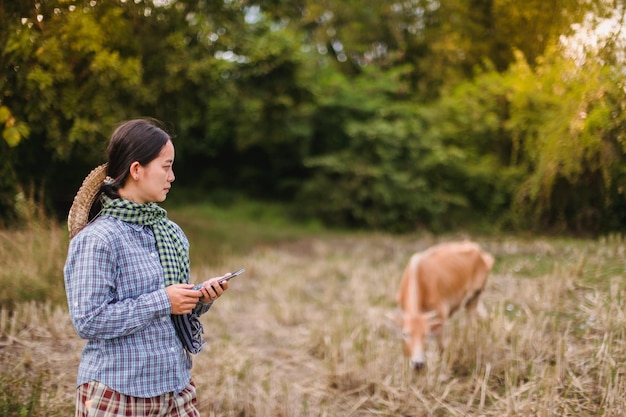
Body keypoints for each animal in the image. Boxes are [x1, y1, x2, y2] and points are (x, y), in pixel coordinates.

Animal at [388, 239, 494, 368]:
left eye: (426, 335)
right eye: (405, 334)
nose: (418, 364)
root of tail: (478, 250)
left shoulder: (441, 315)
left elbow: (441, 348)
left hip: (474, 297)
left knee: (471, 327)